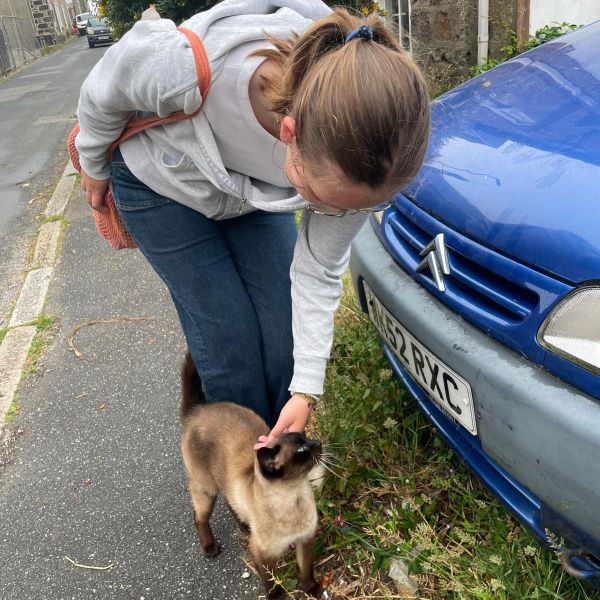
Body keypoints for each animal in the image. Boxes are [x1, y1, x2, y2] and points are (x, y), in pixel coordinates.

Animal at [180, 352, 326, 600]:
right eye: (300, 450)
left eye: (306, 439)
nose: (318, 444)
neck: (294, 495)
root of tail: (197, 411)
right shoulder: (262, 554)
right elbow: (271, 582)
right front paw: (277, 597)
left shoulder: (305, 539)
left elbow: (306, 570)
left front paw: (313, 590)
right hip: (206, 489)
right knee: (199, 517)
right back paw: (210, 548)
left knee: (231, 503)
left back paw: (245, 527)